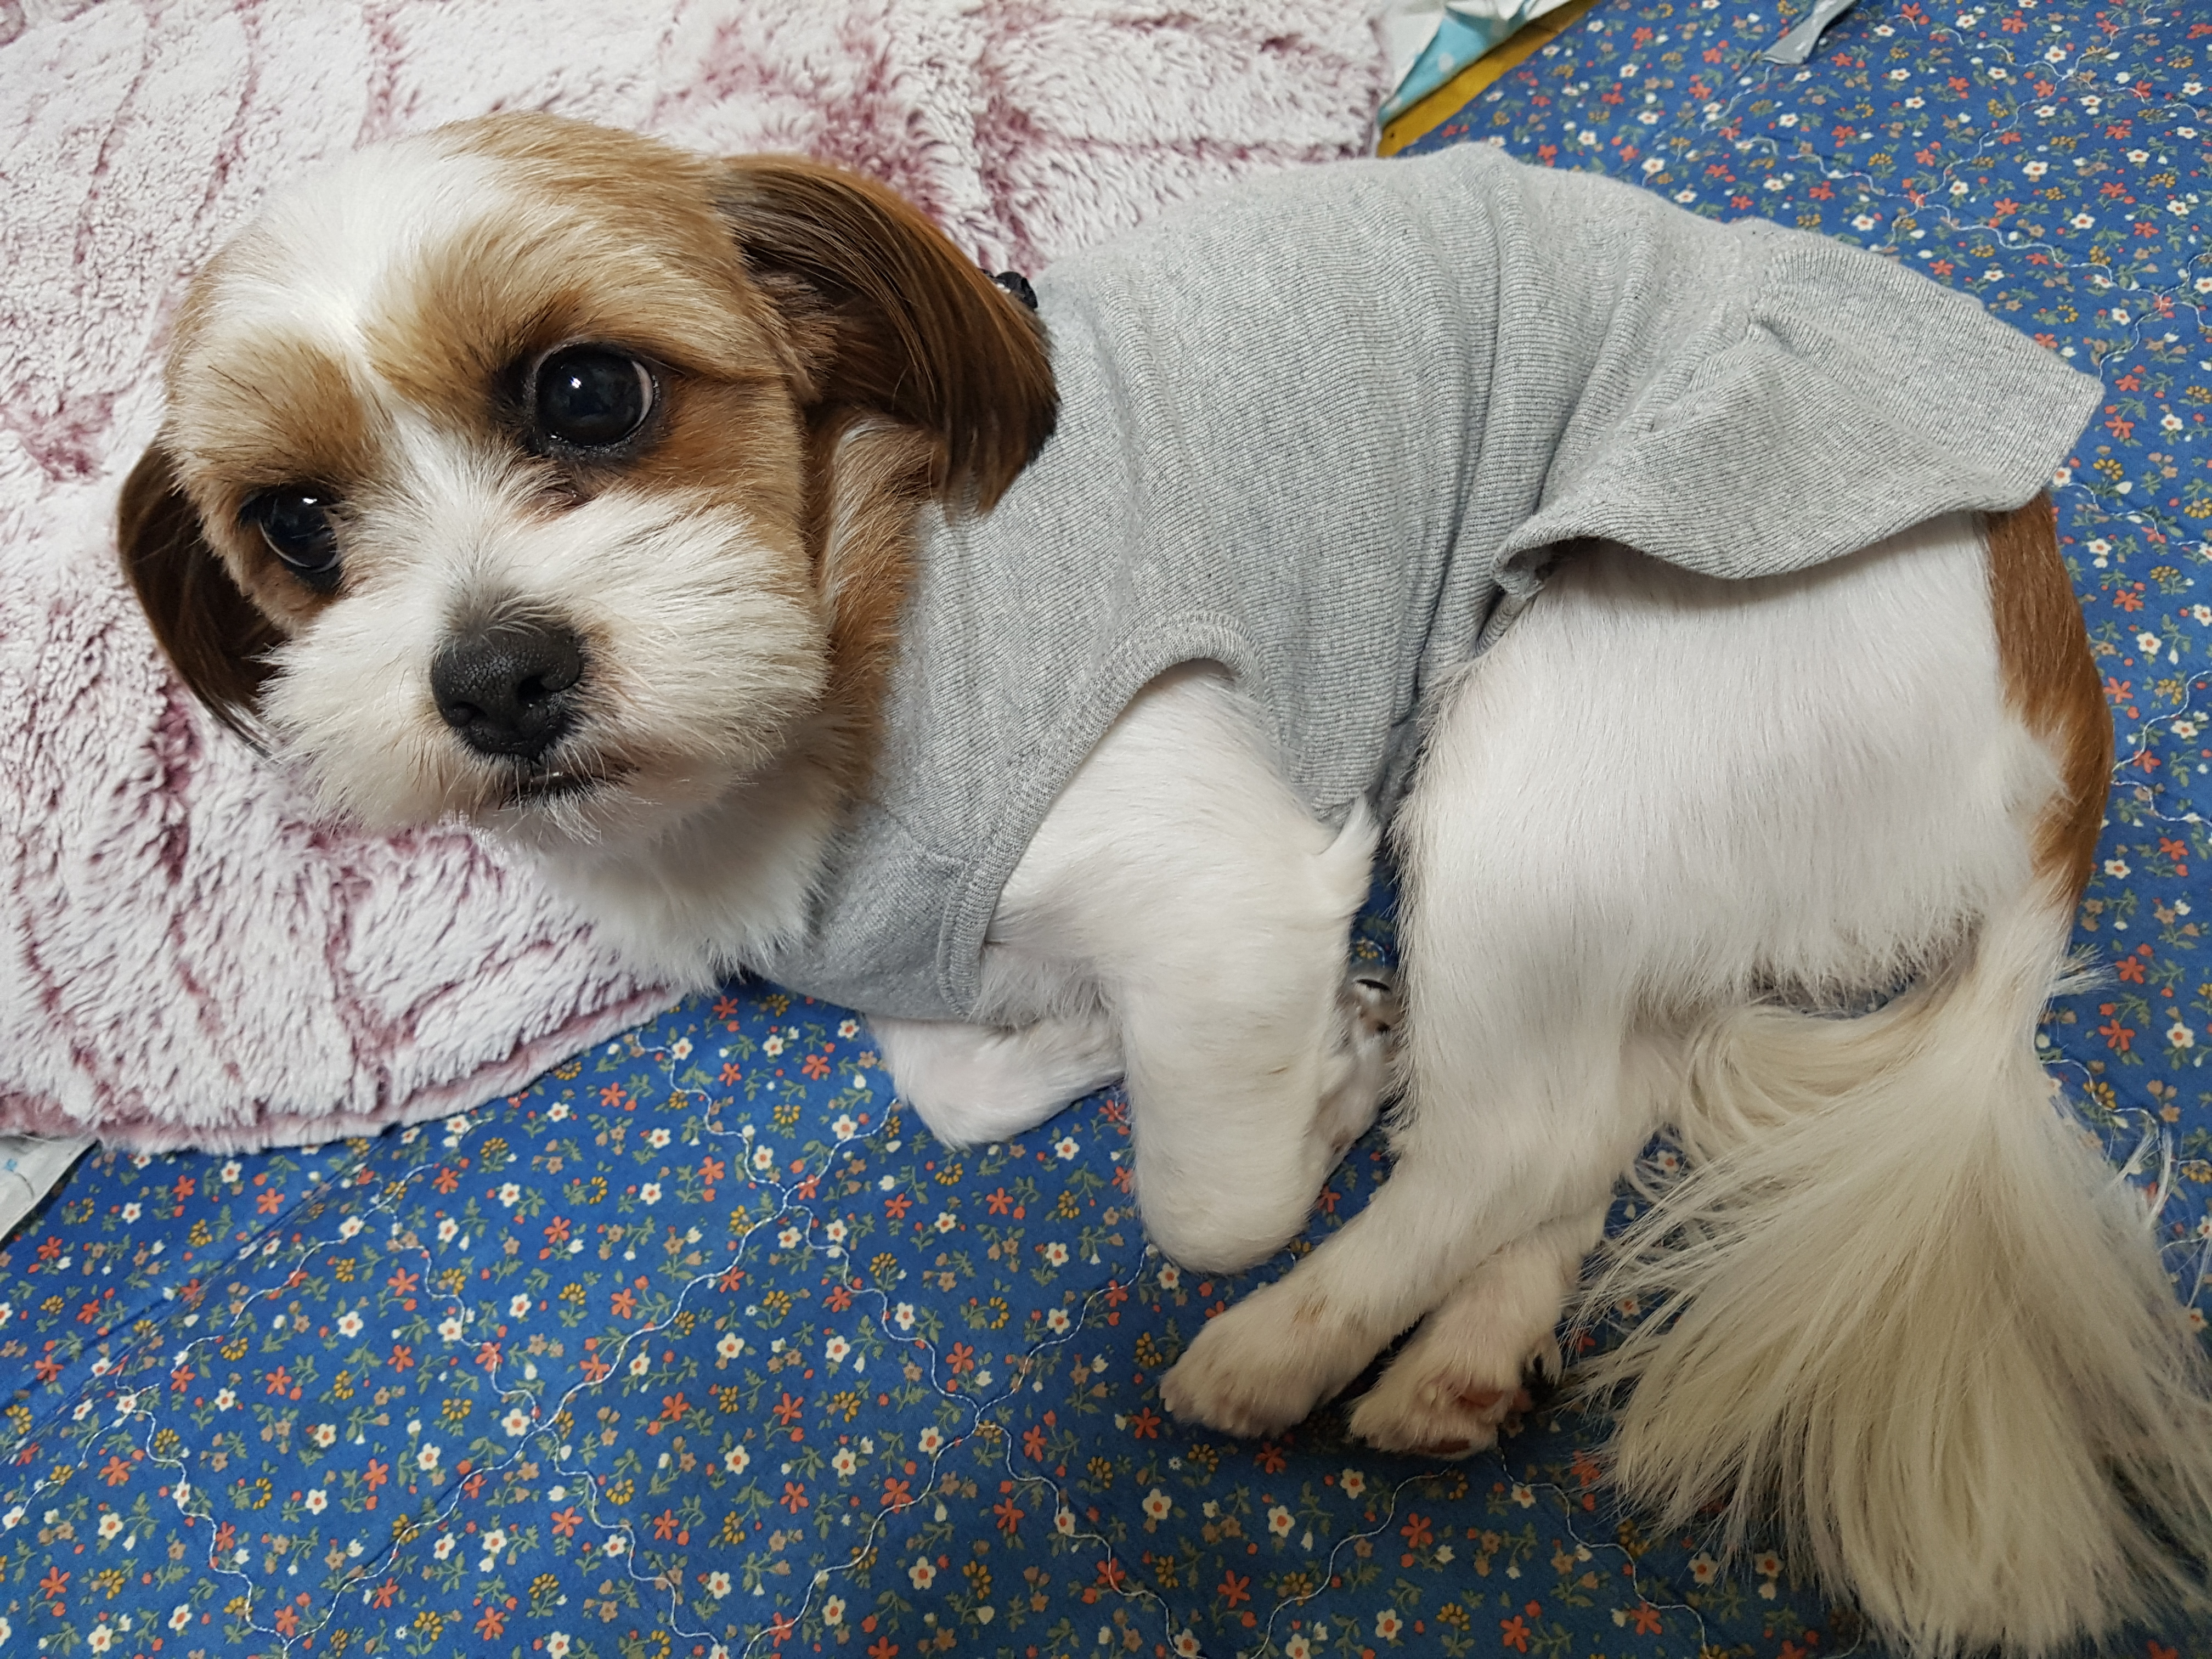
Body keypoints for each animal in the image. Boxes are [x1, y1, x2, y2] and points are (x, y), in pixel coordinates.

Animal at [118, 113, 2212, 1653]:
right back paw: (1464, 1355)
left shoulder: (1218, 878)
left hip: (1547, 736)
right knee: (1590, 1110)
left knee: (1505, 1135)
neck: (847, 644)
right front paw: (1086, 1046)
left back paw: (1295, 1339)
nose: (491, 679)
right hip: (1639, 866)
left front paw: (1323, 1090)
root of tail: (2053, 704)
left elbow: (1212, 1190)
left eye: (587, 394)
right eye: (293, 526)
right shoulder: (911, 955)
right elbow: (945, 1077)